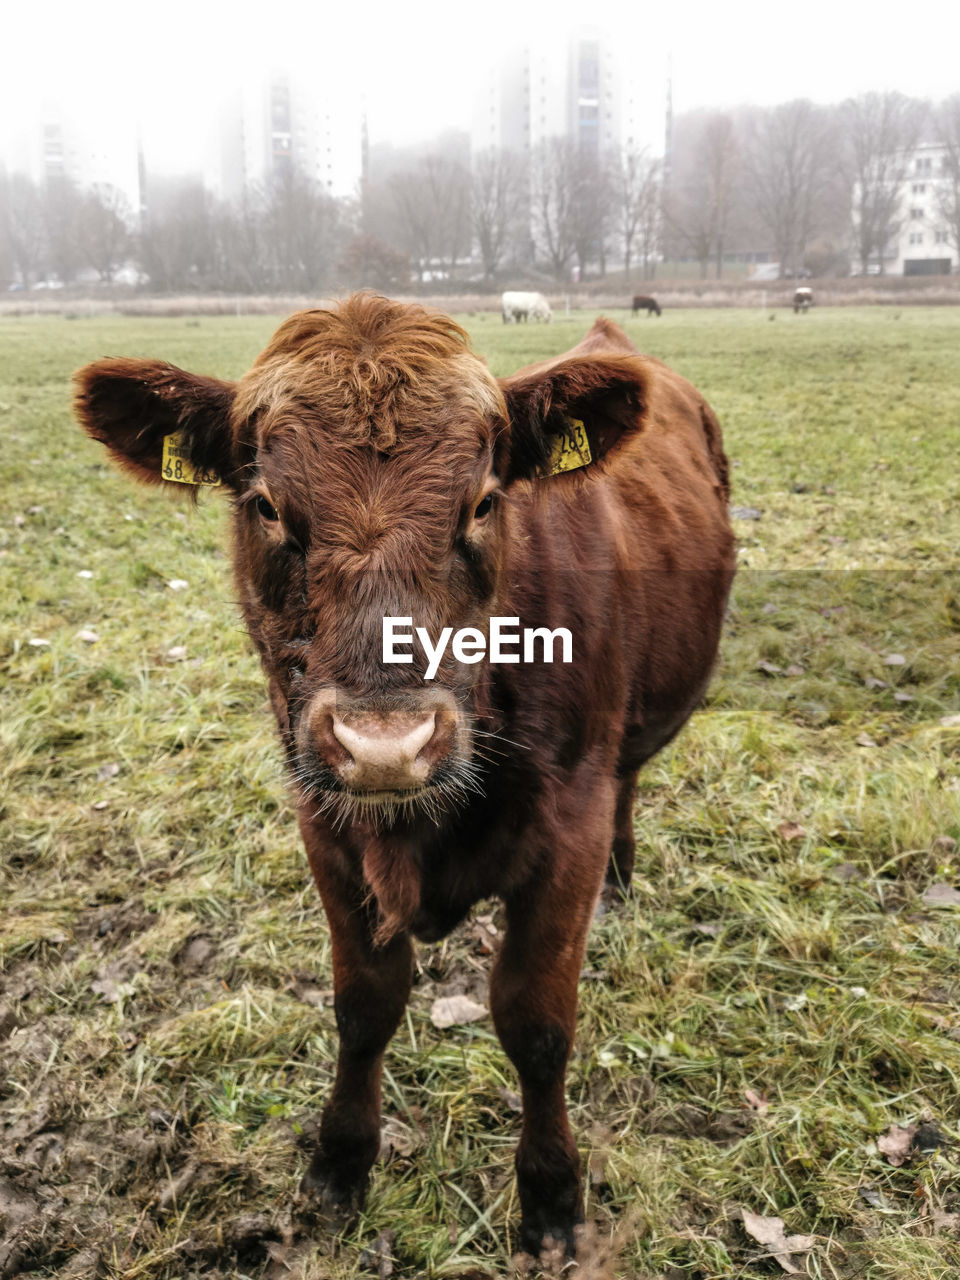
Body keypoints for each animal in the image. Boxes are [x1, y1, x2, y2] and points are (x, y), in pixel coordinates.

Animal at [75, 293, 737, 1259]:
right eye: (266, 505)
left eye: (485, 500)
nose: (386, 745)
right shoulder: (325, 824)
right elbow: (365, 1004)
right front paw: (342, 1159)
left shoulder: (568, 830)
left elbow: (537, 1024)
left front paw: (551, 1195)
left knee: (632, 781)